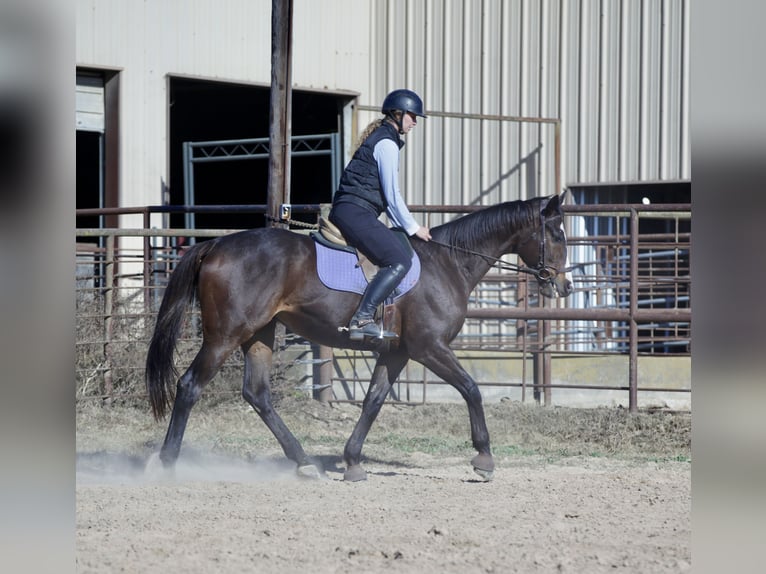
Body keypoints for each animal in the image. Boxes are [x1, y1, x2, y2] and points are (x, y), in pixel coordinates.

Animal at [145, 193, 572, 481]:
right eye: (556, 234)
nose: (564, 287)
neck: (447, 262)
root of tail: (215, 243)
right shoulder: (429, 348)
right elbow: (471, 389)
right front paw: (484, 458)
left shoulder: (396, 352)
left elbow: (373, 402)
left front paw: (352, 461)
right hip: (225, 336)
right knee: (189, 386)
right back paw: (166, 461)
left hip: (259, 335)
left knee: (257, 394)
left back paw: (303, 462)